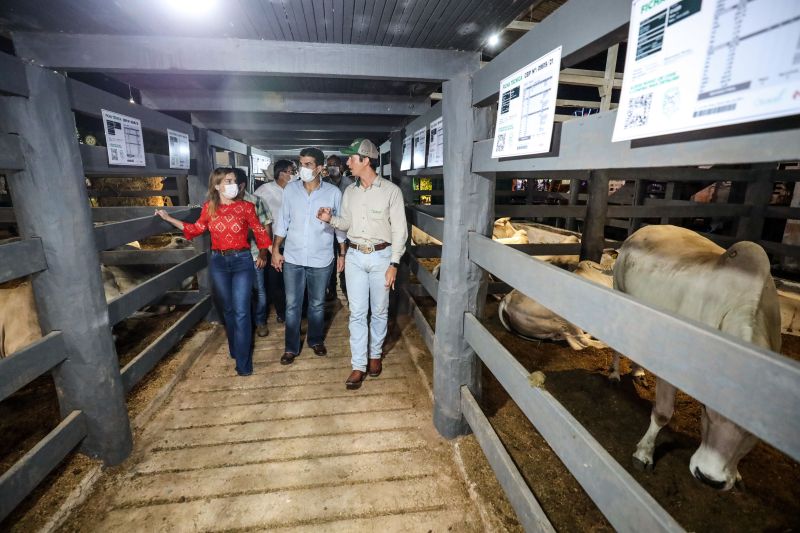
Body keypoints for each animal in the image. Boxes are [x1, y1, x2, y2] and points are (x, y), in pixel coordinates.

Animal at [612, 224, 780, 490]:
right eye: (707, 410)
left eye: (754, 433)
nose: (710, 478)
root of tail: (642, 230)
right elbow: (663, 414)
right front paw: (644, 454)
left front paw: (737, 474)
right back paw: (615, 374)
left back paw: (638, 371)